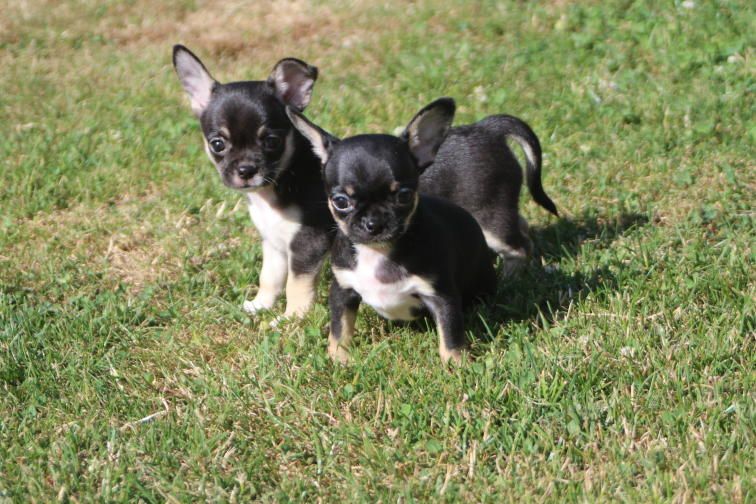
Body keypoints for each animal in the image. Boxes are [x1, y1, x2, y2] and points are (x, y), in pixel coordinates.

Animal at [172, 45, 334, 319]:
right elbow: (269, 278)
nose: (246, 169)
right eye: (217, 144)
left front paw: (291, 319)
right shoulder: (274, 244)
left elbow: (295, 285)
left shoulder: (307, 244)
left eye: (271, 141)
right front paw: (260, 306)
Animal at [288, 98, 497, 364]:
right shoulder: (342, 291)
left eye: (403, 196)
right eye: (341, 201)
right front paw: (338, 359)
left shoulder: (442, 296)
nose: (373, 223)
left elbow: (450, 335)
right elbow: (340, 328)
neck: (378, 252)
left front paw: (456, 364)